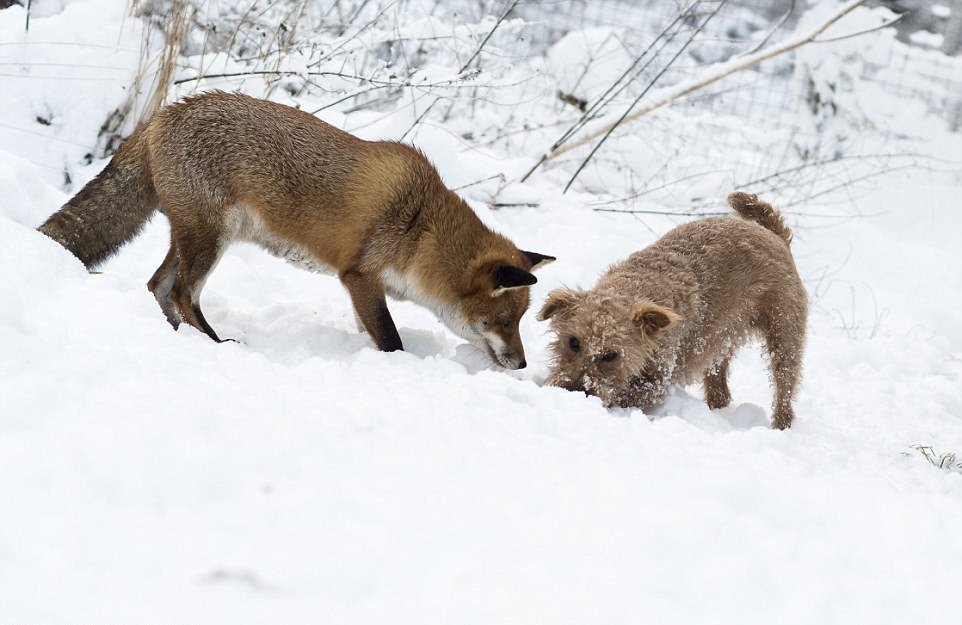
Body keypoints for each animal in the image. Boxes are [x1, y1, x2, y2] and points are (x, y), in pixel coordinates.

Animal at [39, 90, 556, 368]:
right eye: (505, 322)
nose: (524, 363)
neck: (421, 229)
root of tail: (167, 111)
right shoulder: (359, 275)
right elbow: (390, 337)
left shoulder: (365, 287)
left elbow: (375, 330)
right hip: (210, 239)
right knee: (183, 292)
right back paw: (215, 344)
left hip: (193, 236)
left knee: (158, 286)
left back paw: (180, 339)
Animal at [540, 193, 804, 428]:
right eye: (573, 342)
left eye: (611, 355)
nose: (572, 390)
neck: (633, 289)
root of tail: (776, 236)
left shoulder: (657, 381)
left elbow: (626, 395)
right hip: (720, 342)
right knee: (719, 389)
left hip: (784, 336)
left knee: (784, 388)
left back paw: (780, 424)